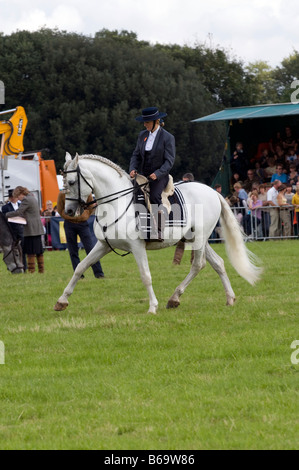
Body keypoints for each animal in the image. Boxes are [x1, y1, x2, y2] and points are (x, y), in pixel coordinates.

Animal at [54, 154, 262, 314]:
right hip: (196, 239)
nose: (69, 211)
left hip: (200, 238)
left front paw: (152, 307)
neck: (116, 203)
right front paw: (62, 301)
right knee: (217, 263)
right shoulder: (103, 245)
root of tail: (212, 191)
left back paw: (175, 298)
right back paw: (228, 298)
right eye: (63, 183)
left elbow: (145, 275)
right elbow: (80, 267)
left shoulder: (137, 247)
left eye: (71, 182)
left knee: (198, 265)